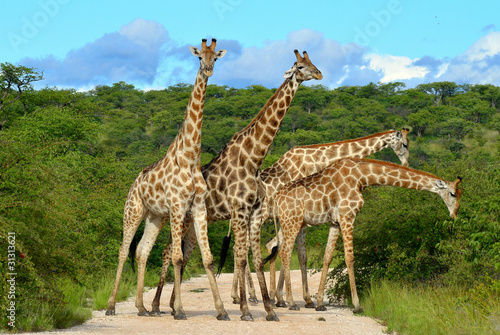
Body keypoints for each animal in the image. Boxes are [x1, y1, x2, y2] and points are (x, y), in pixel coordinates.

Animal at [106, 38, 229, 322]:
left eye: (215, 58)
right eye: (199, 57)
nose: (208, 70)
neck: (190, 156)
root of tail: (133, 184)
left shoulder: (198, 208)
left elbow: (207, 259)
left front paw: (222, 310)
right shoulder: (178, 207)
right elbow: (177, 257)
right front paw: (180, 310)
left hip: (155, 216)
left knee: (141, 251)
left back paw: (141, 307)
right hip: (133, 211)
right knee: (123, 251)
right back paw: (111, 306)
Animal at [274, 159, 460, 314]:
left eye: (460, 194)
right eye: (452, 193)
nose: (454, 214)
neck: (362, 178)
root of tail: (276, 198)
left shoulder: (335, 221)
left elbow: (327, 257)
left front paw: (320, 303)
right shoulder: (348, 215)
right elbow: (350, 257)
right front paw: (357, 305)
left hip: (290, 223)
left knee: (284, 252)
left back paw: (288, 300)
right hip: (293, 222)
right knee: (285, 253)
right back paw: (291, 303)